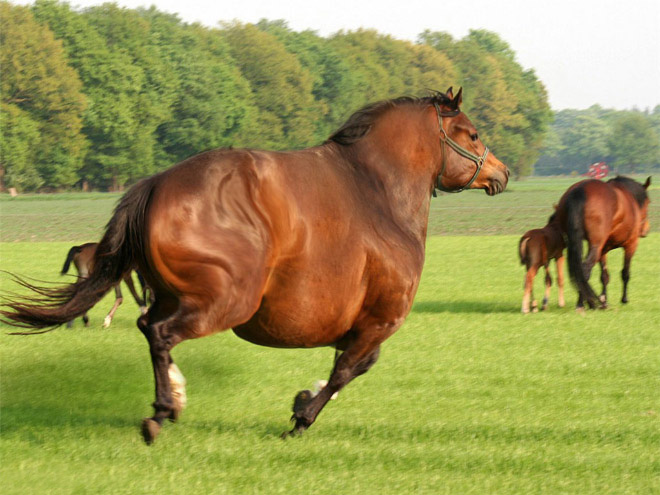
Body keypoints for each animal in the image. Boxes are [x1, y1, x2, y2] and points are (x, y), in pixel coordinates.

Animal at [1, 88, 509, 444]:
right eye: (472, 134)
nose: (500, 173)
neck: (377, 192)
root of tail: (156, 184)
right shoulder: (380, 319)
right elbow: (350, 368)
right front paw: (300, 416)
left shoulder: (364, 323)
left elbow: (347, 365)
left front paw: (304, 397)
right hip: (225, 302)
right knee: (161, 334)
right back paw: (162, 411)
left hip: (177, 294)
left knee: (150, 327)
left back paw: (175, 398)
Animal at [555, 176, 651, 310]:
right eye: (648, 203)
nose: (646, 229)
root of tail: (580, 190)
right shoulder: (631, 245)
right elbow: (625, 273)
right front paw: (624, 299)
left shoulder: (603, 249)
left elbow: (604, 276)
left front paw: (604, 300)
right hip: (596, 246)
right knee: (585, 269)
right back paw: (582, 303)